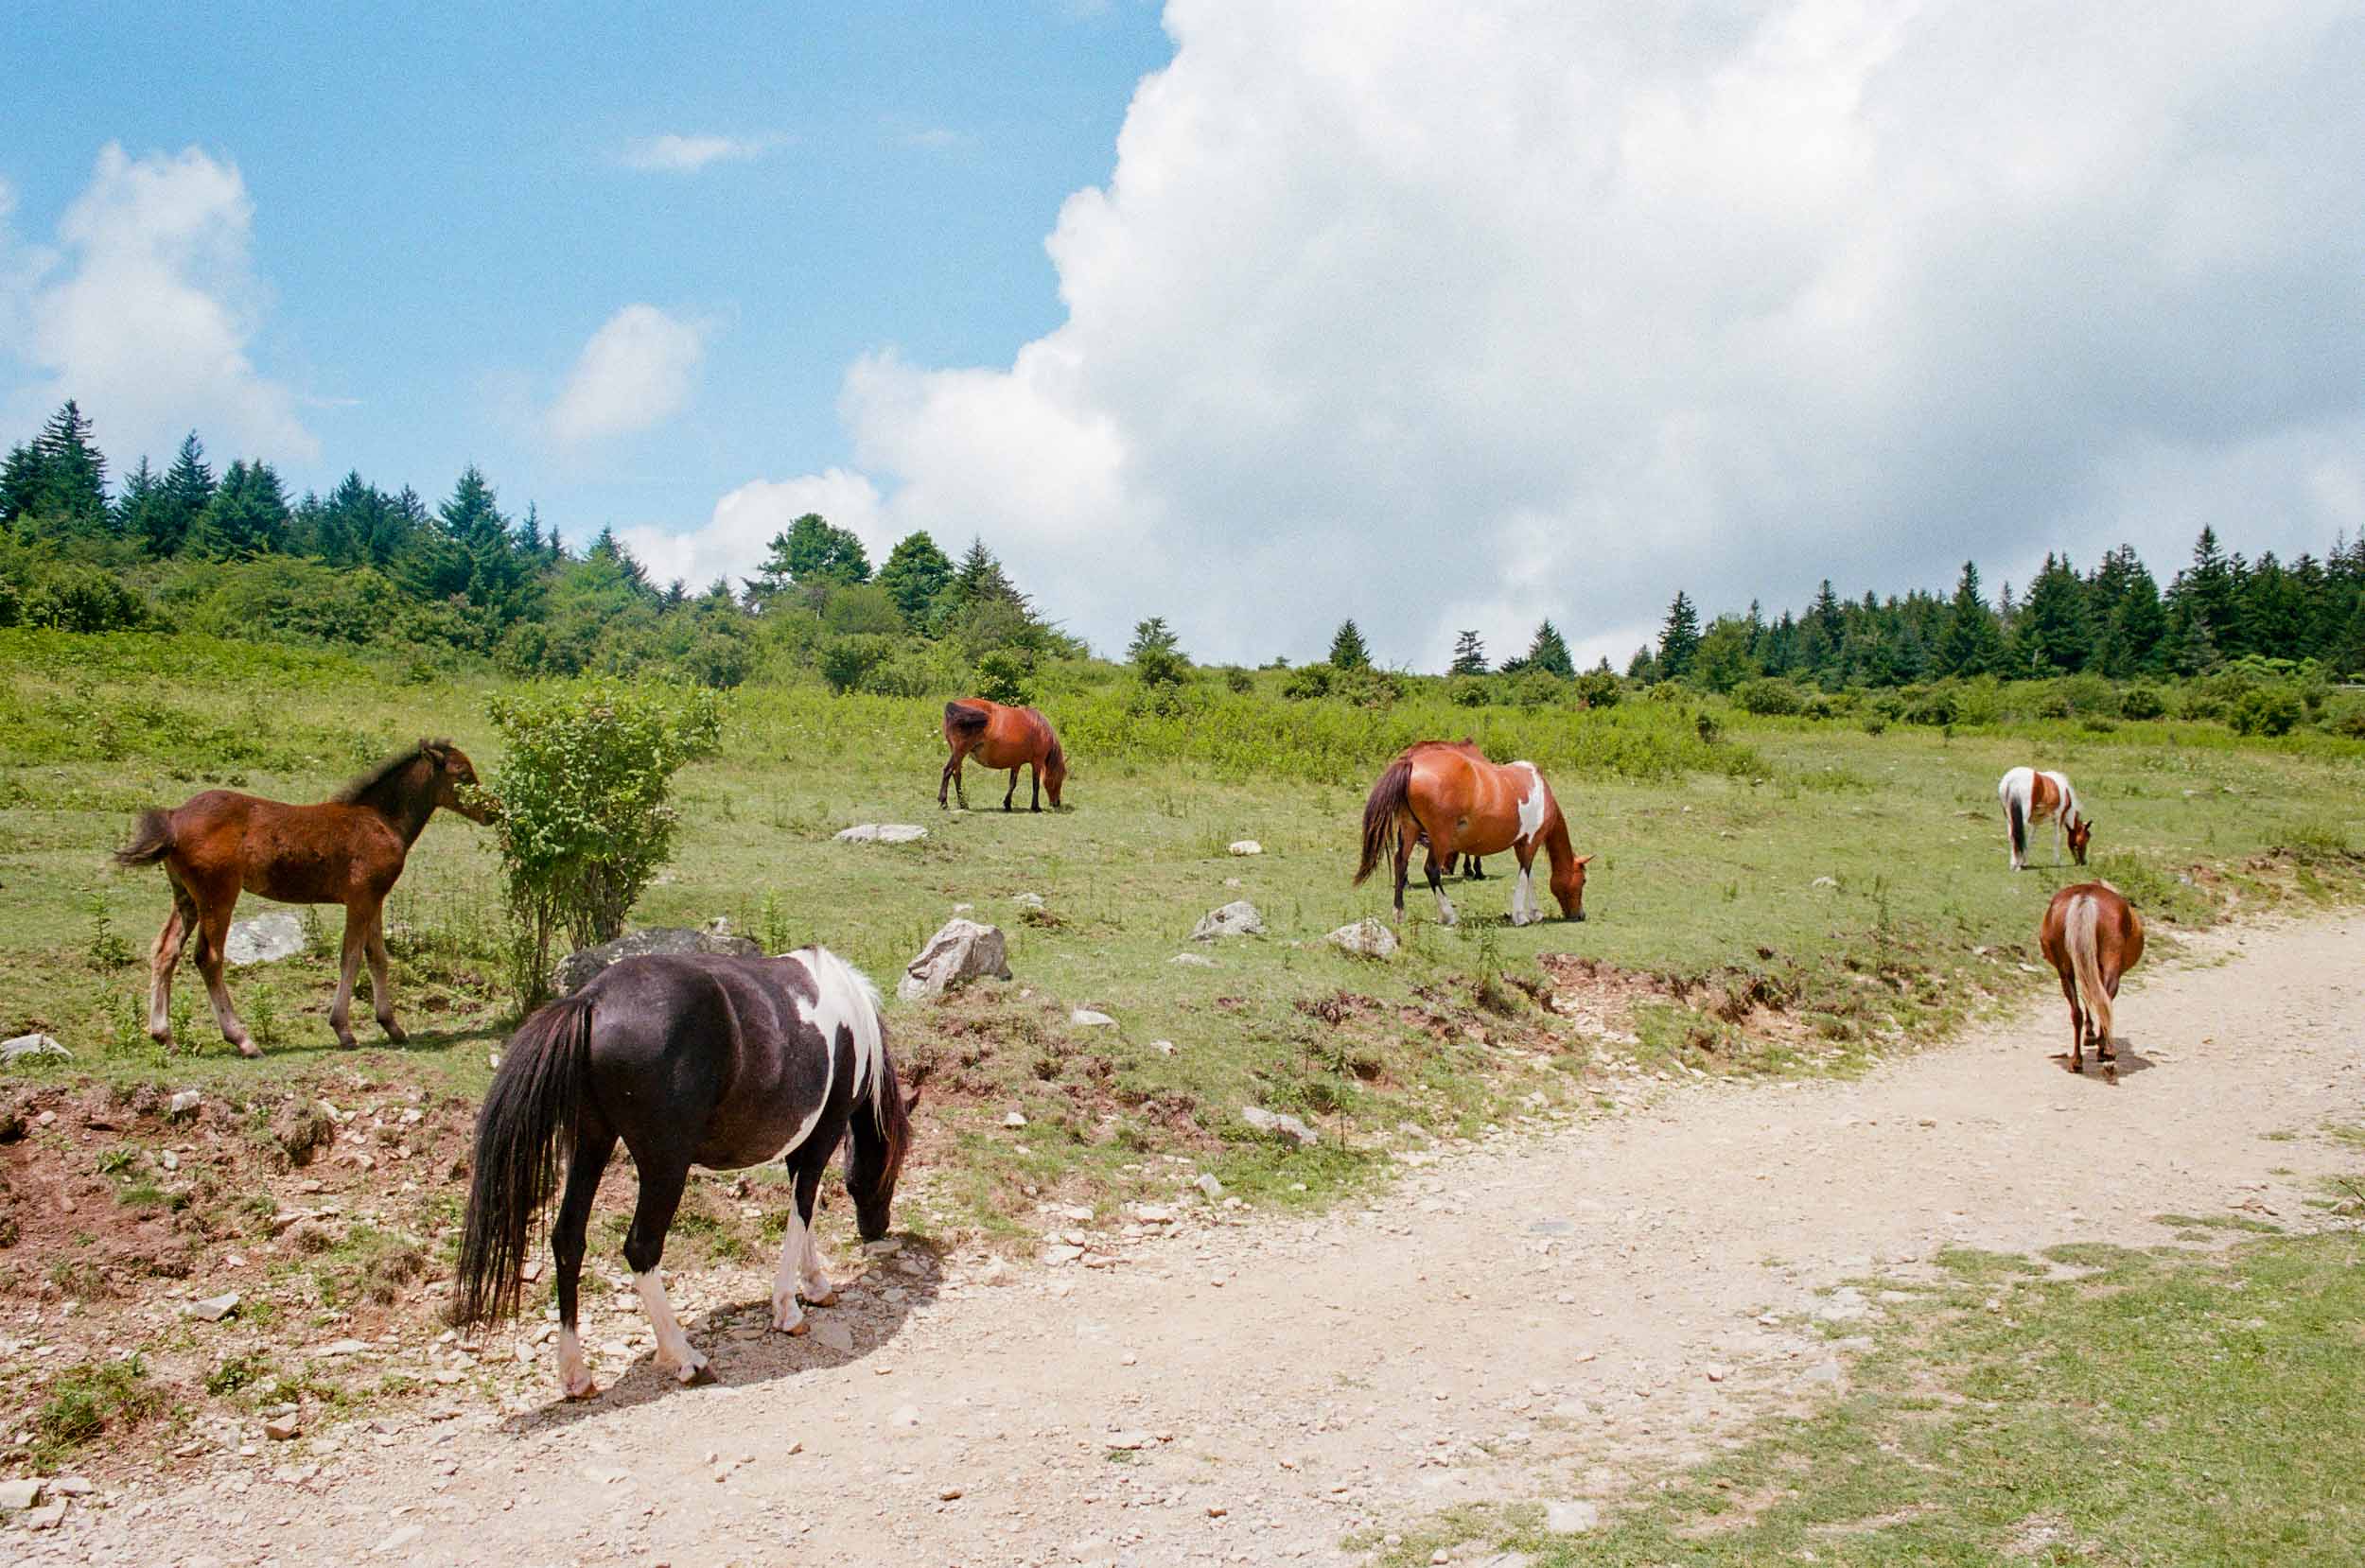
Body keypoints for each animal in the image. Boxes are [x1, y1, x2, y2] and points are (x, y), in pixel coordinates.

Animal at [112, 739, 492, 1056]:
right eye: (463, 775)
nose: (491, 812)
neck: (381, 820)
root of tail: (174, 818)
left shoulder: (375, 899)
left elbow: (378, 958)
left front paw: (392, 1026)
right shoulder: (360, 899)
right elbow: (351, 957)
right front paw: (343, 1030)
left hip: (186, 898)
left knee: (165, 951)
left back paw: (165, 1037)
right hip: (218, 894)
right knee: (209, 957)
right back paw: (244, 1040)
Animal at [452, 947, 918, 1399]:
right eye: (891, 1169)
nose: (876, 1228)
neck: (851, 1020)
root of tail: (592, 1000)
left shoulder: (799, 1145)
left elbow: (802, 1213)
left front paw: (816, 1284)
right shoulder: (823, 1134)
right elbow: (803, 1209)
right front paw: (788, 1307)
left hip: (591, 1145)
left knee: (568, 1239)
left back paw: (576, 1376)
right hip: (664, 1168)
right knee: (641, 1248)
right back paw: (685, 1358)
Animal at [939, 697, 1066, 811]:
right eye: (1059, 778)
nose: (1057, 803)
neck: (1041, 730)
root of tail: (954, 705)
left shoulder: (1016, 764)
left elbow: (1012, 784)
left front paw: (1007, 804)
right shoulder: (1037, 762)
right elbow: (1035, 784)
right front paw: (1035, 807)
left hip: (959, 754)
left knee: (957, 775)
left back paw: (963, 804)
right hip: (960, 751)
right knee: (948, 771)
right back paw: (943, 802)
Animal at [1354, 740, 1591, 926]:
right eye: (1583, 881)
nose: (1579, 915)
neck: (1542, 792)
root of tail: (1411, 762)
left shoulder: (1522, 844)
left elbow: (1529, 875)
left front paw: (1535, 912)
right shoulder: (1531, 840)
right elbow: (1525, 874)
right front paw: (1521, 916)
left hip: (1410, 830)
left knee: (1400, 863)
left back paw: (1399, 913)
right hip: (1440, 840)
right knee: (1431, 870)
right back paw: (1449, 915)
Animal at [2037, 882, 2144, 1078]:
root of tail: (2085, 895)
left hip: (2065, 968)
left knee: (2077, 1012)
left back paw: (2077, 1061)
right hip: (2110, 960)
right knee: (2105, 1001)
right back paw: (2106, 1054)